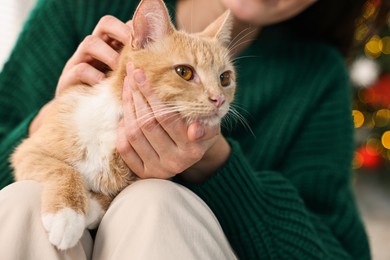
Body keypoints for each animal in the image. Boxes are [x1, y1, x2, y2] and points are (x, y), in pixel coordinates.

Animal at [9, 0, 235, 251]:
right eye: (184, 72)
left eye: (225, 78)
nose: (219, 99)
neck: (115, 124)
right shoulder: (27, 152)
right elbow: (65, 170)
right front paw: (67, 215)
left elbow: (109, 196)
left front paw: (88, 208)